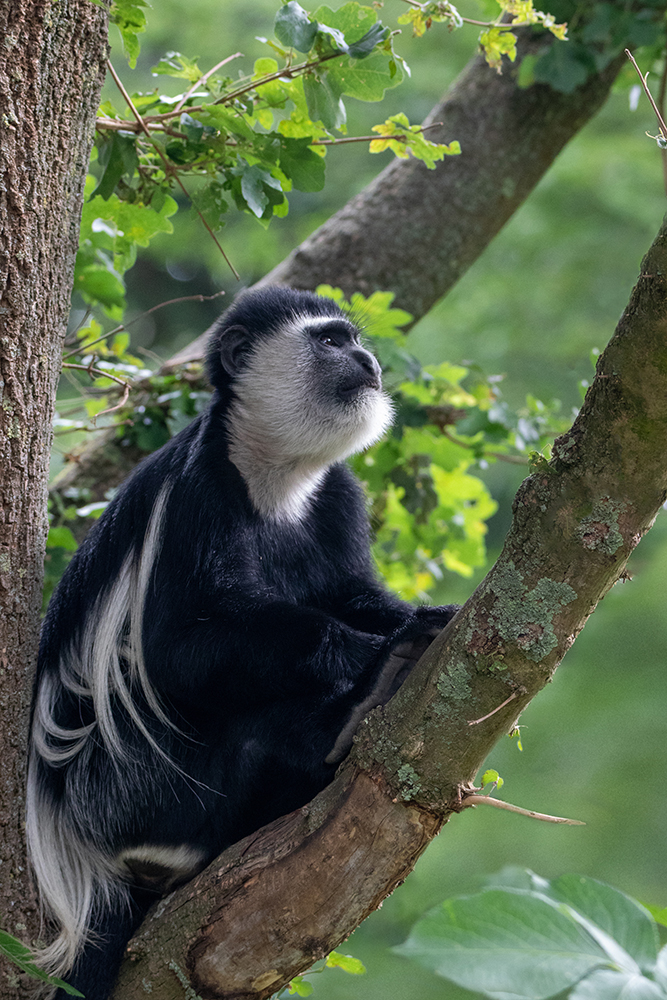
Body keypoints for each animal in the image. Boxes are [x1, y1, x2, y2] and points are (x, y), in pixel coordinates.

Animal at [27, 286, 460, 996]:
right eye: (331, 341)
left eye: (354, 339)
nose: (368, 360)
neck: (275, 480)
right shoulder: (198, 495)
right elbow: (173, 653)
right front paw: (370, 650)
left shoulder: (338, 498)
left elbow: (354, 593)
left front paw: (426, 617)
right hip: (132, 790)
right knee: (246, 720)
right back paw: (361, 698)